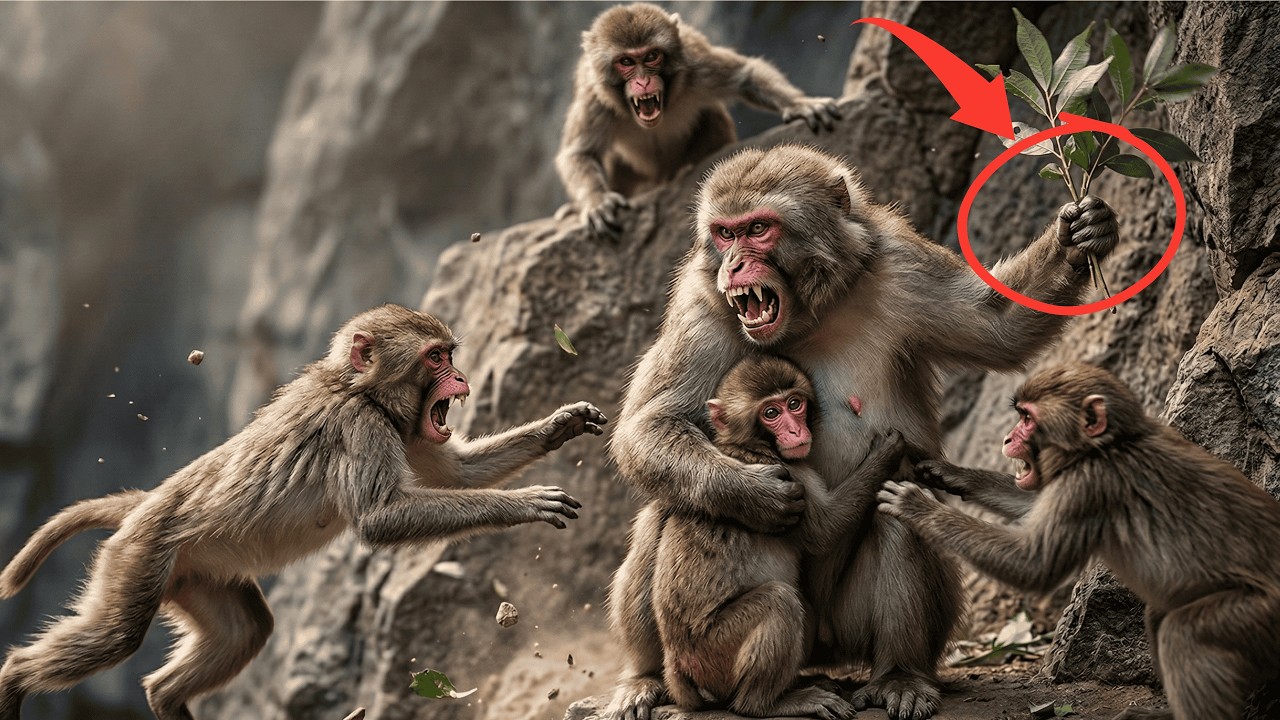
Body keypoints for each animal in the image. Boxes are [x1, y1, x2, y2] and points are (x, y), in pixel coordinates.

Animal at [0, 303, 607, 720]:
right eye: (436, 357)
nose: (461, 378)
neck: (360, 389)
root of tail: (147, 504)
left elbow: (455, 475)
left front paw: (562, 424)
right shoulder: (360, 426)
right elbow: (379, 519)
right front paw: (523, 502)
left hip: (193, 573)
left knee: (246, 630)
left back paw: (166, 697)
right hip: (140, 557)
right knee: (118, 636)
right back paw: (13, 679)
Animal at [556, 3, 841, 238]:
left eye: (651, 56)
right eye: (626, 61)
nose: (643, 81)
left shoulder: (697, 65)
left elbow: (746, 74)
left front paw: (800, 104)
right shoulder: (595, 98)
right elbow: (579, 153)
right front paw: (596, 202)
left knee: (711, 116)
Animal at [618, 355, 905, 719]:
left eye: (794, 404)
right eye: (771, 413)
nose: (796, 431)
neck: (747, 444)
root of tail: (677, 666)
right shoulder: (792, 474)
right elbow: (823, 531)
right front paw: (887, 453)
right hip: (715, 650)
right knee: (779, 603)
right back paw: (772, 702)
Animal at [878, 363, 1280, 720]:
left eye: (1027, 419)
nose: (1007, 438)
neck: (1109, 446)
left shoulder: (1087, 484)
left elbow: (1034, 564)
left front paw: (917, 506)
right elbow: (1034, 508)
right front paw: (949, 473)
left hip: (1259, 613)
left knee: (1183, 633)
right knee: (1161, 614)